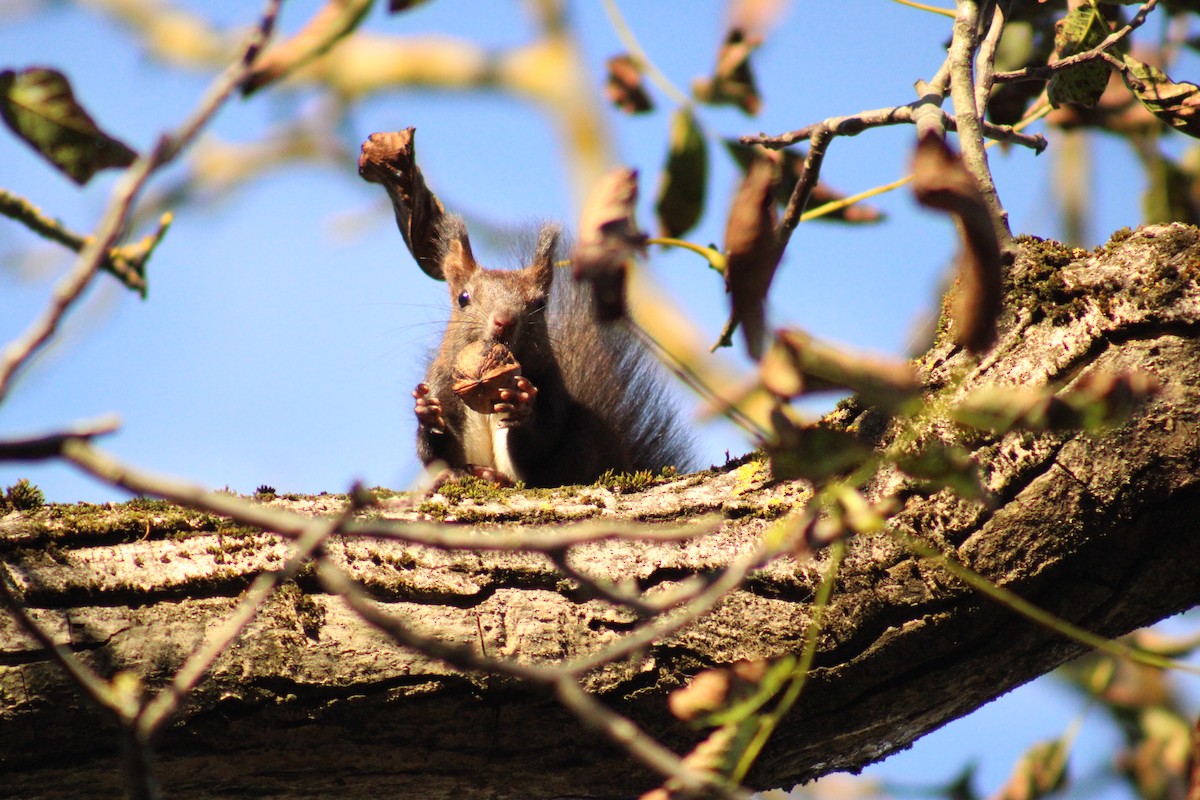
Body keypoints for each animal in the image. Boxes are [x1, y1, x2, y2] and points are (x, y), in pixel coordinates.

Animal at [413, 216, 693, 487]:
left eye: (540, 304)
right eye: (463, 298)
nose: (505, 321)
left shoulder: (551, 387)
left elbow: (540, 444)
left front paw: (522, 405)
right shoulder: (441, 383)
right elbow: (436, 455)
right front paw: (427, 412)